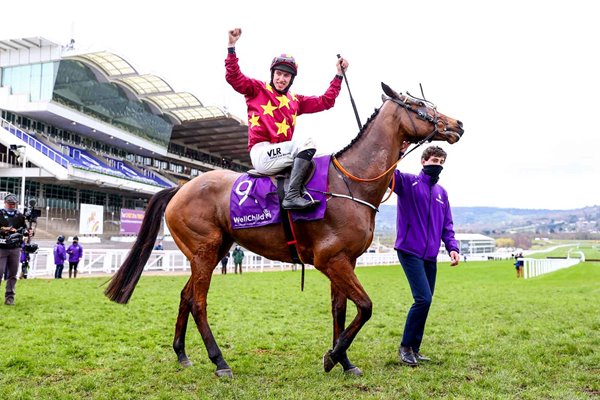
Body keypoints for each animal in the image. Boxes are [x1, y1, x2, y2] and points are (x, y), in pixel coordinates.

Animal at [105, 83, 464, 376]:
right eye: (419, 105)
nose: (457, 124)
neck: (350, 182)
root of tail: (179, 188)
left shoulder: (344, 260)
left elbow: (340, 310)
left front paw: (344, 361)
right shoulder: (331, 260)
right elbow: (365, 307)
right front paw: (333, 356)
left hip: (212, 250)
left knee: (185, 296)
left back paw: (182, 354)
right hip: (205, 250)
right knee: (198, 302)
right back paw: (219, 361)